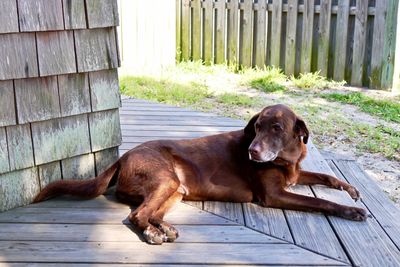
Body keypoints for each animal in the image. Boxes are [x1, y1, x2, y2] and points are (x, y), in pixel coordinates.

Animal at [34, 104, 366, 245]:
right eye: (257, 127)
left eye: (276, 128)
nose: (252, 152)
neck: (288, 158)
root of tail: (123, 156)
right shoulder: (274, 195)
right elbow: (320, 202)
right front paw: (350, 210)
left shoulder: (295, 176)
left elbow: (325, 177)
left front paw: (349, 189)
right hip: (166, 180)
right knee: (137, 215)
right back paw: (153, 233)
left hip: (176, 190)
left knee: (149, 212)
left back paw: (164, 228)